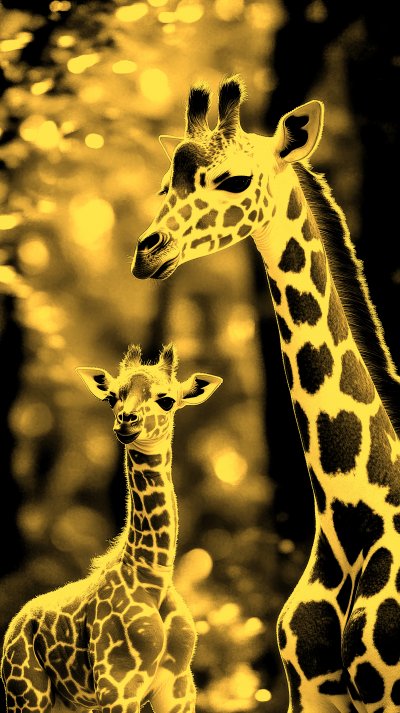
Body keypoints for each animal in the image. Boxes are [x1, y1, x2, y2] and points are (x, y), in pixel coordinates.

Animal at [1, 342, 222, 713]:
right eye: (112, 397)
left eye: (167, 400)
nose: (126, 421)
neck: (153, 576)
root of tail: (15, 625)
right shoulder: (118, 685)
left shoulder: (178, 687)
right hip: (28, 693)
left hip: (71, 702)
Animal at [130, 76, 400, 713]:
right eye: (165, 184)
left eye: (233, 179)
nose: (147, 251)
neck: (350, 518)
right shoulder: (310, 694)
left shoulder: (389, 690)